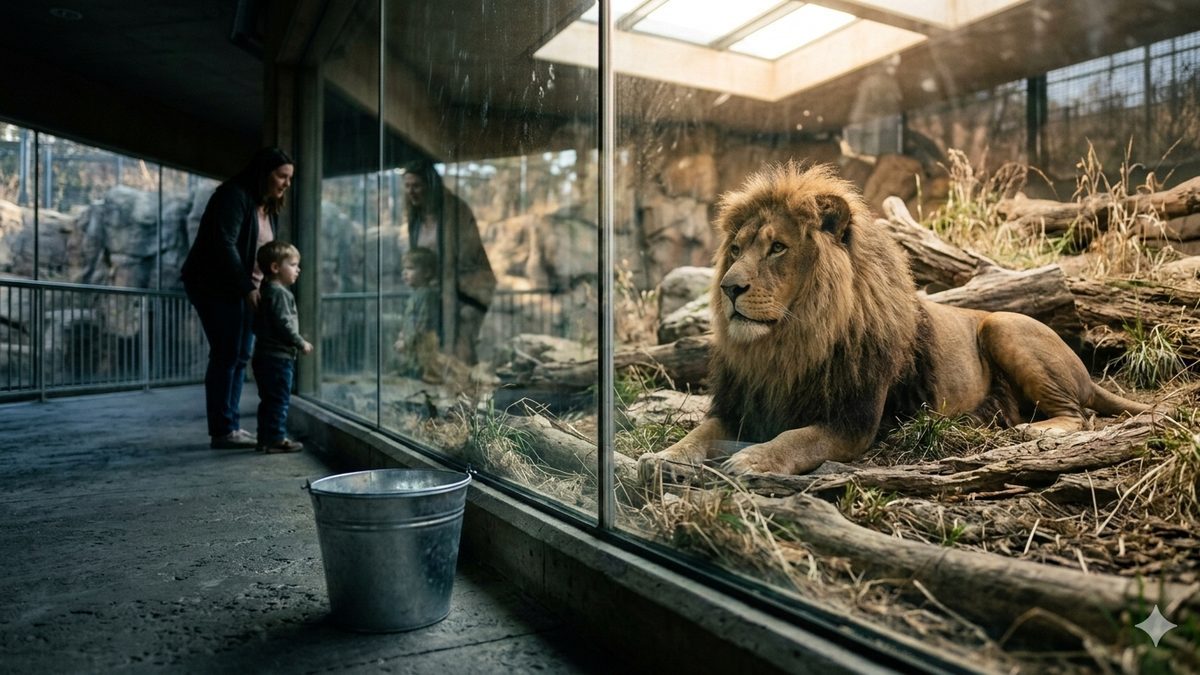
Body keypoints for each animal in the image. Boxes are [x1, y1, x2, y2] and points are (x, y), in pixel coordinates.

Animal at [638, 162, 1149, 481]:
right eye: (737, 249)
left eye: (777, 247)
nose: (729, 287)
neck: (788, 344)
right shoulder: (735, 406)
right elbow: (697, 433)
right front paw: (661, 456)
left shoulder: (852, 423)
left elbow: (795, 438)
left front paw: (753, 459)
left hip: (1004, 326)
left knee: (1079, 415)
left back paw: (1033, 431)